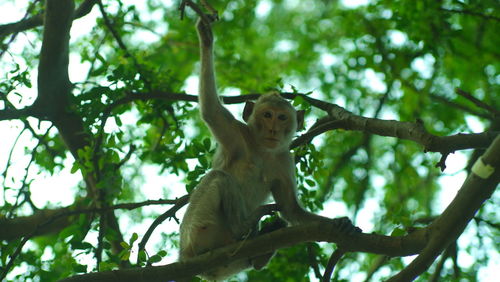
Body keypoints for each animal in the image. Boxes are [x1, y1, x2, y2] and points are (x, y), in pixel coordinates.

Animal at [178, 16, 358, 282]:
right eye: (267, 115)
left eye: (282, 118)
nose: (273, 129)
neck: (263, 151)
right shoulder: (237, 134)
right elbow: (210, 108)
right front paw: (206, 37)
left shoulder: (284, 159)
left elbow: (291, 209)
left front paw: (340, 223)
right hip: (196, 228)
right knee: (218, 177)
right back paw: (244, 226)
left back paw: (261, 249)